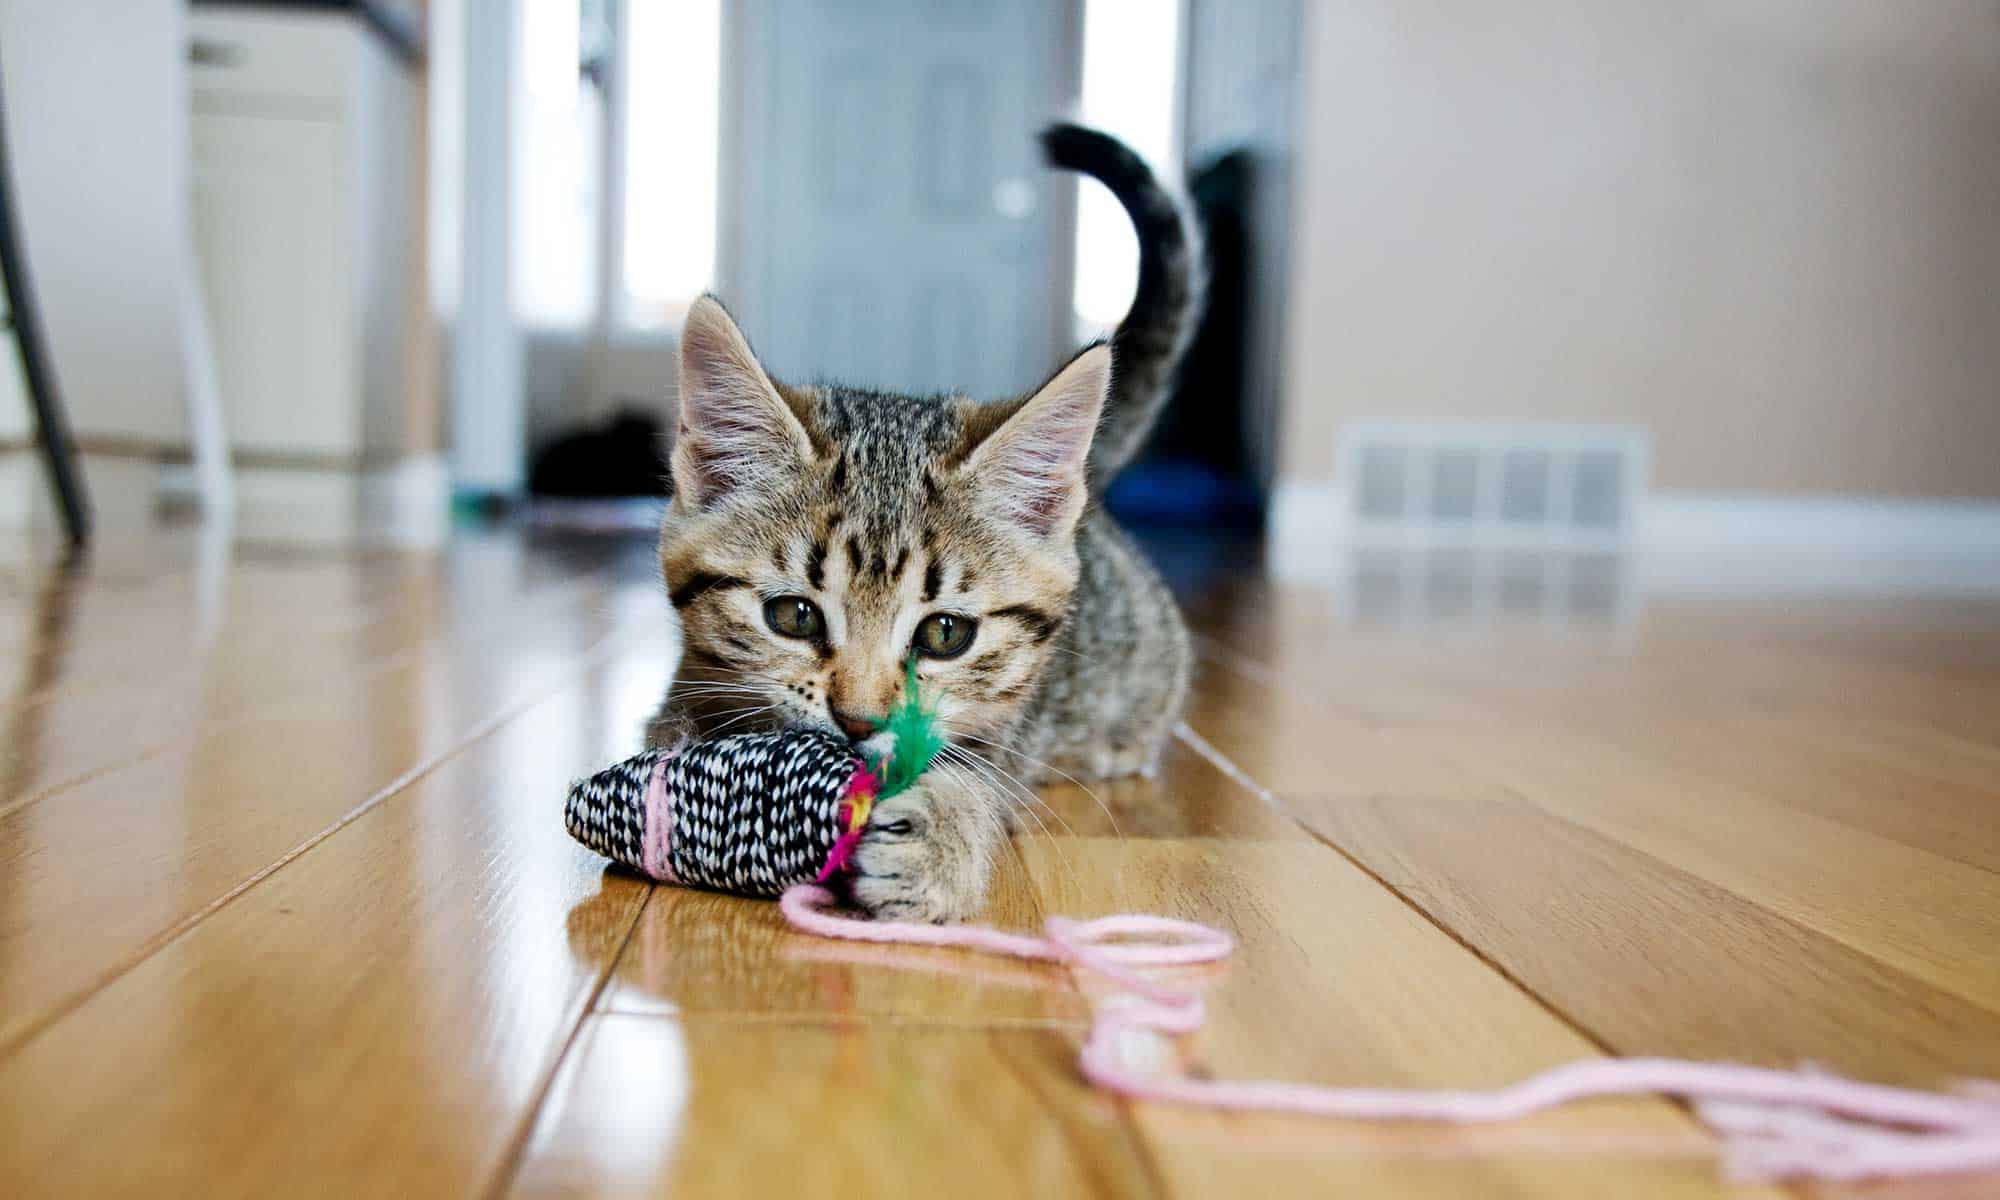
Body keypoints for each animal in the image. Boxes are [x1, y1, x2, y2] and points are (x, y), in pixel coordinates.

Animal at [652, 124, 1200, 920]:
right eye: (793, 616)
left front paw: (940, 839)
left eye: (945, 634)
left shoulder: (1004, 735)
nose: (859, 722)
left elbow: (977, 776)